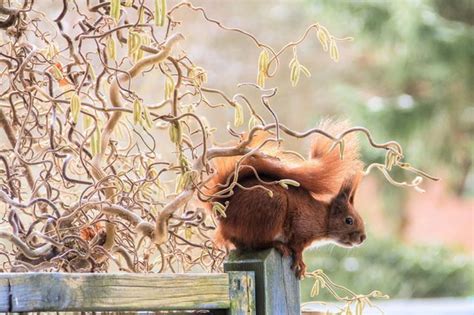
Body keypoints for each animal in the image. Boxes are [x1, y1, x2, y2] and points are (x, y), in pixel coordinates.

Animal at [207, 121, 366, 278]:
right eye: (349, 220)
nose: (363, 238)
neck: (322, 216)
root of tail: (224, 213)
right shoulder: (300, 228)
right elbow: (297, 248)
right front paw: (300, 263)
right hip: (272, 209)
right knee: (257, 242)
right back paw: (278, 245)